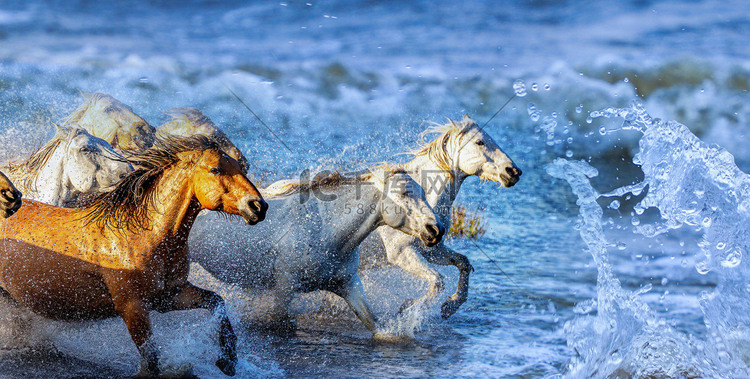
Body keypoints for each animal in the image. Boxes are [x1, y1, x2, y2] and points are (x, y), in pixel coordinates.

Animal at [0, 137, 268, 378]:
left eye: (241, 168)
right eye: (215, 169)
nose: (258, 206)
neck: (143, 236)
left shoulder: (169, 297)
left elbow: (217, 303)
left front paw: (227, 361)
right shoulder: (132, 306)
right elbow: (150, 358)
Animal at [189, 168, 446, 332]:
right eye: (403, 193)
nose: (437, 229)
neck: (326, 231)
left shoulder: (348, 284)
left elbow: (377, 325)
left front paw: (408, 311)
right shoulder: (285, 285)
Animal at [360, 114, 524, 320]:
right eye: (480, 142)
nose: (514, 172)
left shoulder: (432, 250)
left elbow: (463, 263)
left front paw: (450, 305)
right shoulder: (401, 252)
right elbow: (438, 280)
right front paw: (408, 309)